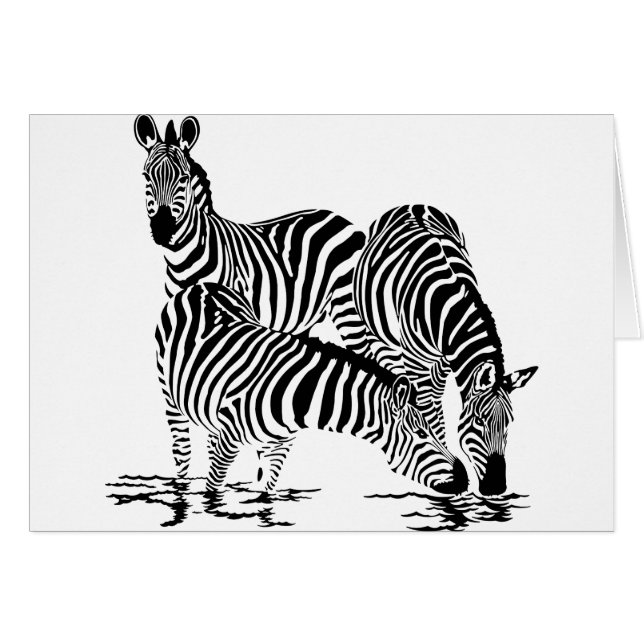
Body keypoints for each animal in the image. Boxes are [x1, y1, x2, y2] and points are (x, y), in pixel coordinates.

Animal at [134, 114, 369, 354]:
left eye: (183, 178)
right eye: (146, 177)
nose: (163, 229)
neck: (182, 258)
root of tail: (342, 220)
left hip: (346, 306)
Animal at [154, 283, 468, 496]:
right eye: (421, 434)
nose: (465, 478)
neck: (295, 397)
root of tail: (202, 286)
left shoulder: (279, 448)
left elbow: (266, 493)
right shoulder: (228, 443)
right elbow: (213, 492)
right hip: (170, 398)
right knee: (182, 451)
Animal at [353, 204, 537, 496]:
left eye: (509, 423)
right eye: (479, 421)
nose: (497, 487)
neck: (446, 306)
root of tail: (411, 204)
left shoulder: (443, 363)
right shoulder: (418, 364)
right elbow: (429, 411)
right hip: (379, 336)